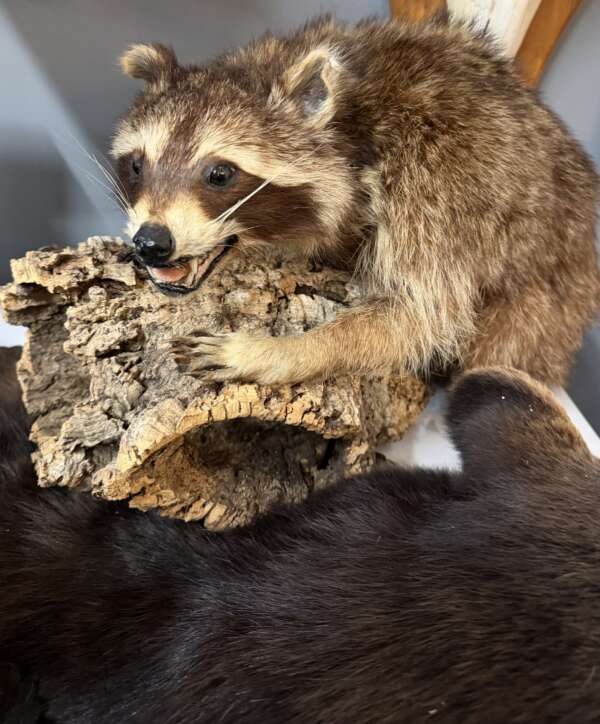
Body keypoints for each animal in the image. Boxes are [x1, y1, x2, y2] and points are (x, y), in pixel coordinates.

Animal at [112, 16, 600, 386]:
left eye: (220, 174)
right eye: (137, 166)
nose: (151, 242)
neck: (349, 123)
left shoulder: (434, 180)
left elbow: (419, 315)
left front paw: (285, 351)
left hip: (553, 291)